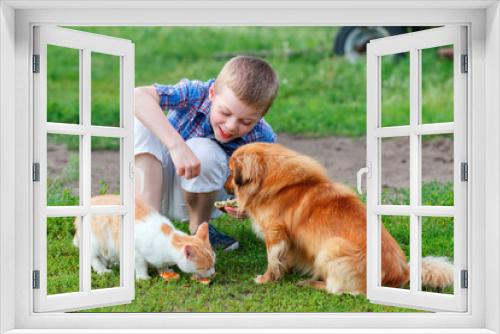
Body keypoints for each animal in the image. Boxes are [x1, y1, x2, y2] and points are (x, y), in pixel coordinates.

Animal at [73, 194, 215, 280]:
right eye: (206, 268)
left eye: (213, 264)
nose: (213, 273)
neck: (169, 237)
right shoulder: (136, 252)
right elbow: (141, 265)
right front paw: (143, 277)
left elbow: (162, 265)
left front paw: (165, 270)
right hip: (95, 242)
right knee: (94, 258)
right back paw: (103, 270)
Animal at [226, 142, 454, 294]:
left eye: (230, 171)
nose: (225, 184)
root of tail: (403, 273)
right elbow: (284, 259)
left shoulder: (275, 233)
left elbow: (273, 260)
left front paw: (266, 279)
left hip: (331, 247)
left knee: (336, 289)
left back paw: (311, 282)